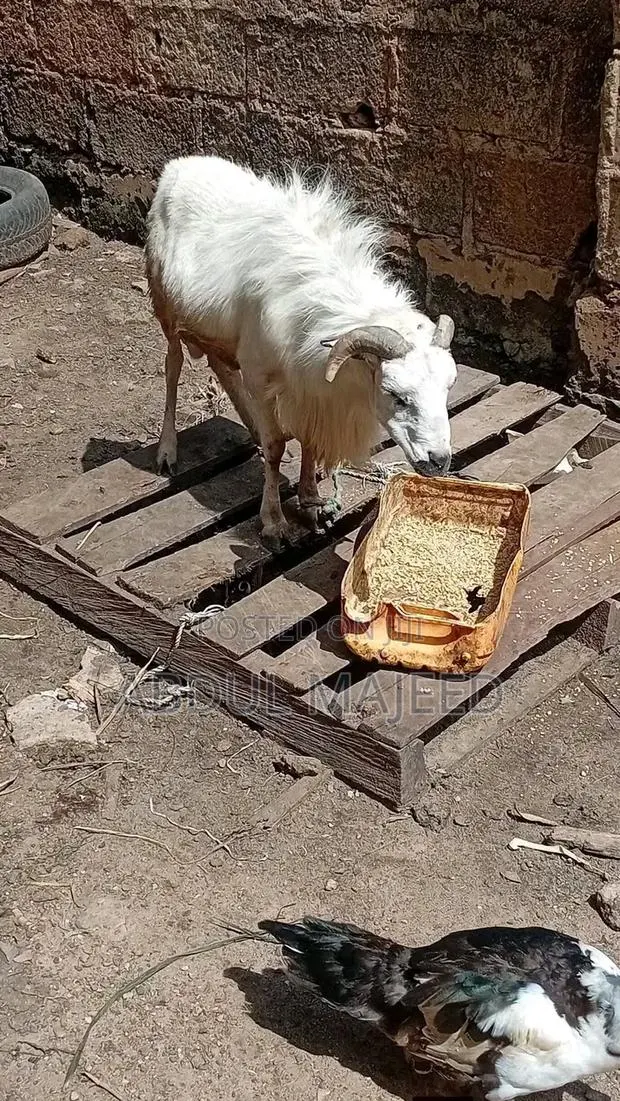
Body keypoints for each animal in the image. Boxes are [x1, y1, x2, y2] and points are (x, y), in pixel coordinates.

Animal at [145, 155, 458, 550]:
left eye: (448, 389)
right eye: (396, 395)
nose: (439, 461)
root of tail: (180, 164)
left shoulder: (310, 388)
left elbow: (309, 440)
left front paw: (311, 500)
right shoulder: (261, 376)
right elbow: (276, 445)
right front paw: (274, 522)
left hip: (218, 330)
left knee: (220, 365)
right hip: (165, 307)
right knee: (172, 366)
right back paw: (167, 451)